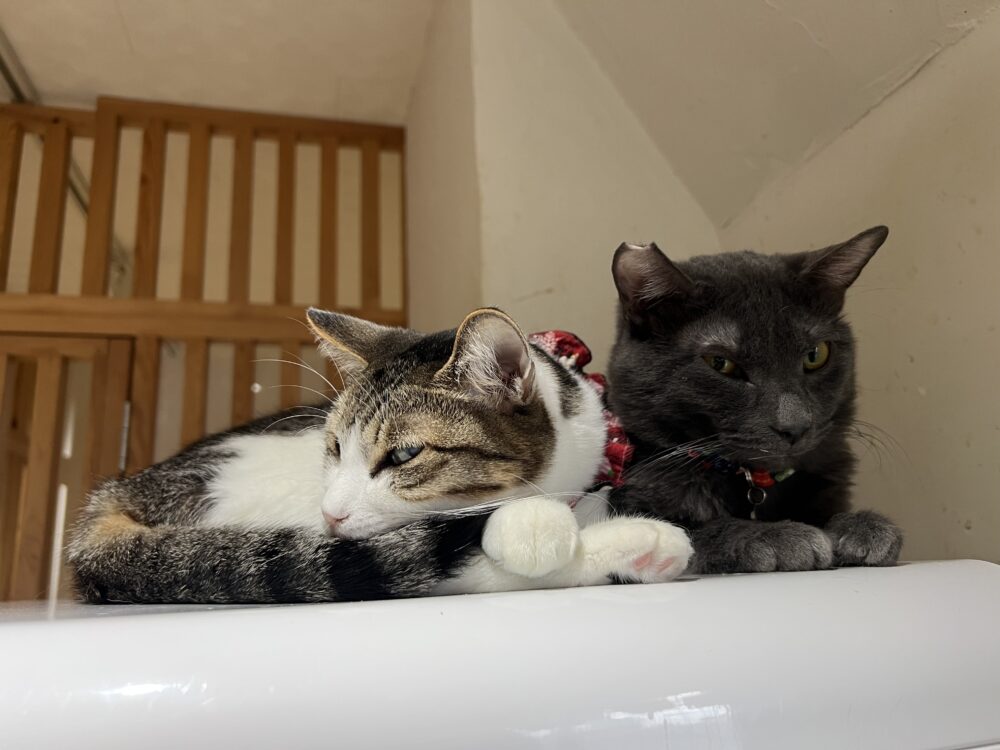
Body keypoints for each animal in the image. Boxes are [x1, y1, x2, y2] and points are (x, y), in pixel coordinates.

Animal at [606, 226, 903, 574]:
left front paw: (862, 526)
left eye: (816, 354)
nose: (795, 426)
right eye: (720, 363)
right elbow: (694, 531)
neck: (756, 482)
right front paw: (777, 536)